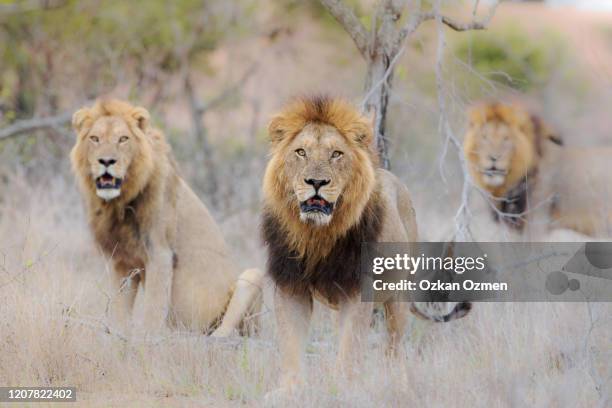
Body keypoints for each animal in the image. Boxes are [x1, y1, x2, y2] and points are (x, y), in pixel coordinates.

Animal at [71, 99, 262, 338]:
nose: (106, 161)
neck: (118, 203)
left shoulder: (160, 254)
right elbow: (119, 309)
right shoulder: (121, 260)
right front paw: (118, 336)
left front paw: (148, 340)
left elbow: (153, 310)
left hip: (252, 278)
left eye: (123, 139)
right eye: (95, 138)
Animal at [262, 95, 468, 398]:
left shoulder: (357, 289)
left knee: (394, 348)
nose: (316, 182)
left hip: (398, 296)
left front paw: (343, 389)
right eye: (300, 152)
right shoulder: (290, 285)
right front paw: (289, 390)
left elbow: (351, 346)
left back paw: (399, 387)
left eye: (336, 154)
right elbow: (291, 342)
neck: (318, 233)